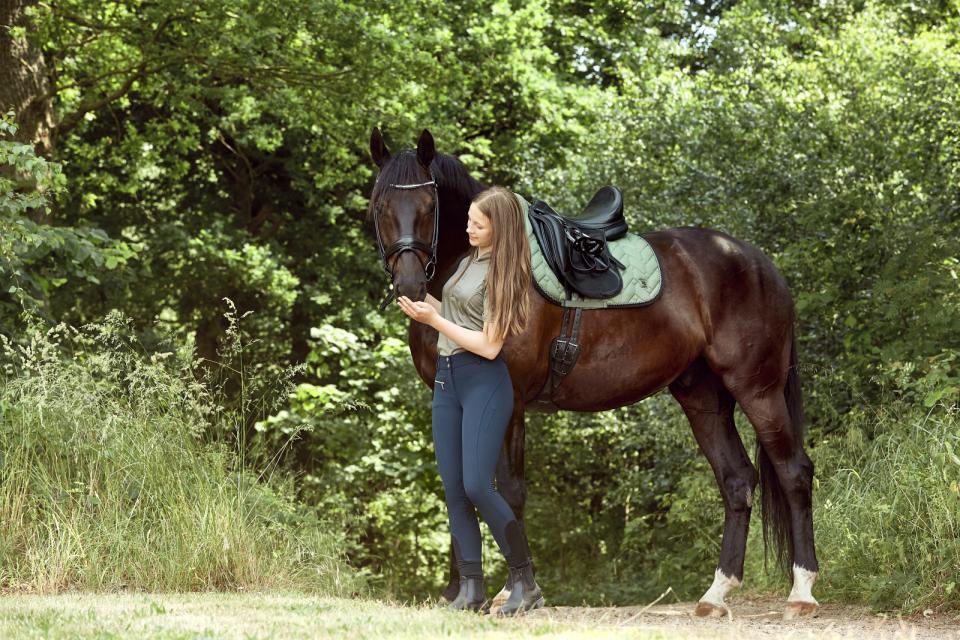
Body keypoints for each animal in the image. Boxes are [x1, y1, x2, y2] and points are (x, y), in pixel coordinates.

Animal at [366, 127, 816, 616]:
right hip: (704, 398)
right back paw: (716, 593)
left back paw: (801, 591)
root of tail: (760, 263)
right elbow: (459, 486)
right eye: (380, 205)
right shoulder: (449, 400)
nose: (410, 285)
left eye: (430, 207)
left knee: (793, 472)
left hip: (758, 389)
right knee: (737, 481)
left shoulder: (510, 401)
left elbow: (508, 490)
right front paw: (459, 592)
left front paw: (515, 593)